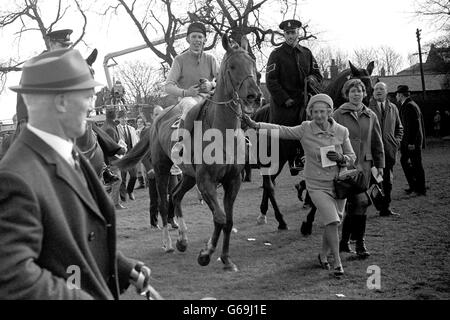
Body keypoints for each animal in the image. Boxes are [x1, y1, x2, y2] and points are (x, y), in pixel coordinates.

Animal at [115, 35, 260, 272]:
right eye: (232, 66)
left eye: (253, 64)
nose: (254, 96)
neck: (222, 132)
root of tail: (156, 120)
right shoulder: (206, 180)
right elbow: (220, 218)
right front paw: (205, 254)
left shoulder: (232, 180)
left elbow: (228, 220)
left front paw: (226, 259)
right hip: (163, 170)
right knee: (164, 203)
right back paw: (168, 243)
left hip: (189, 176)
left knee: (176, 196)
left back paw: (182, 239)